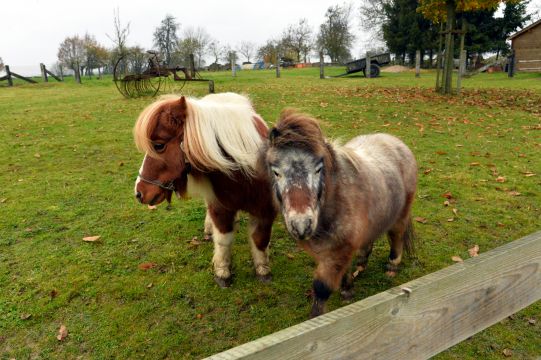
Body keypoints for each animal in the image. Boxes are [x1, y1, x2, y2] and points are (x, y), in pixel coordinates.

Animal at [133, 93, 276, 286]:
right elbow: (223, 240)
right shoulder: (221, 208)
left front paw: (263, 270)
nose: (139, 192)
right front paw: (222, 272)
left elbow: (260, 240)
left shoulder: (265, 210)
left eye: (159, 145)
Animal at [258, 110, 418, 318]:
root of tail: (395, 141)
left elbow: (321, 288)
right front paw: (347, 288)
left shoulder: (337, 252)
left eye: (318, 169)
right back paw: (361, 264)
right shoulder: (339, 248)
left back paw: (392, 266)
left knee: (396, 236)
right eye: (276, 172)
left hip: (400, 215)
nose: (301, 225)